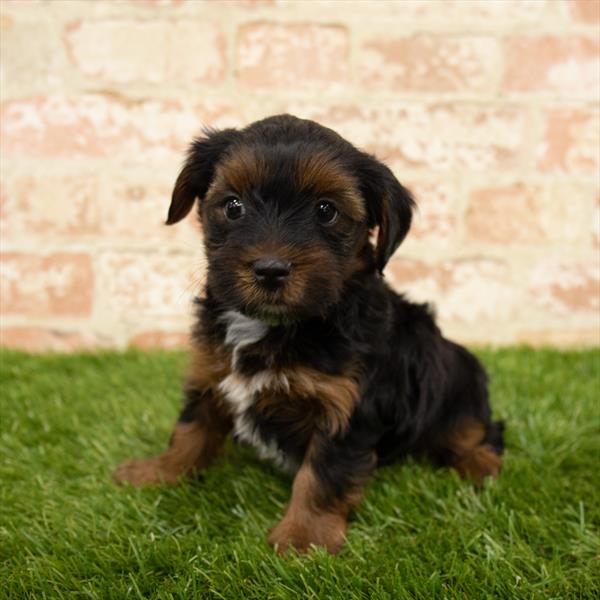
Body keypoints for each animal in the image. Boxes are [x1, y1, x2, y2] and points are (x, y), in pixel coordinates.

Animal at [111, 115, 502, 556]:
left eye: (326, 211)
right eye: (233, 206)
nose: (270, 269)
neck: (277, 325)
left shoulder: (346, 406)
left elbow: (322, 474)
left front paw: (304, 538)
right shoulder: (211, 374)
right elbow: (190, 430)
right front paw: (159, 472)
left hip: (456, 383)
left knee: (478, 431)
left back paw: (480, 466)